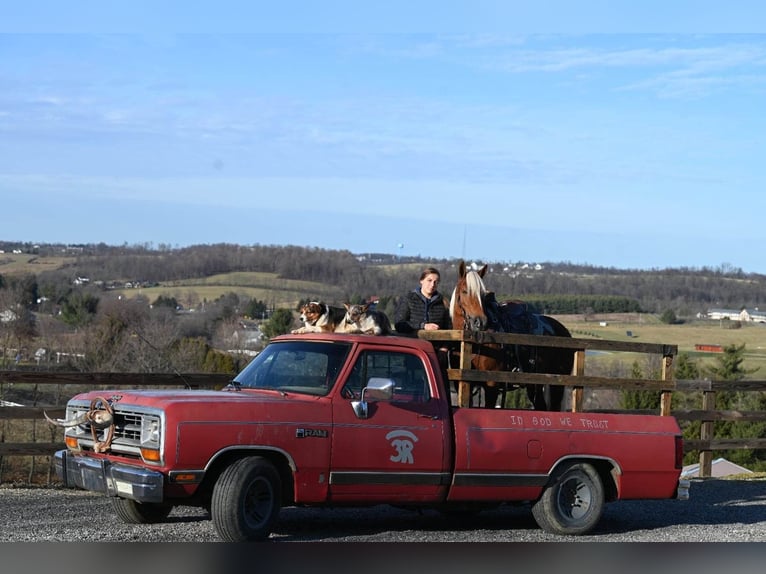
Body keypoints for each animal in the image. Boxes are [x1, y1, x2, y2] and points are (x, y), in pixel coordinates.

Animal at [450, 260, 576, 414]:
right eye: (464, 291)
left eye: (483, 295)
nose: (480, 322)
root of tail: (564, 331)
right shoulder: (462, 384)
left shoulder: (491, 384)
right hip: (535, 385)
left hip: (557, 385)